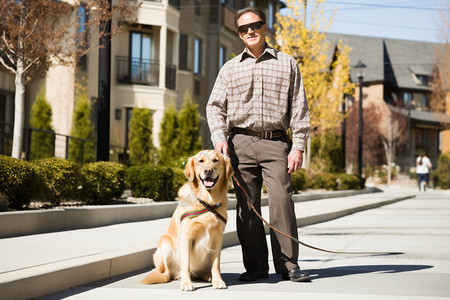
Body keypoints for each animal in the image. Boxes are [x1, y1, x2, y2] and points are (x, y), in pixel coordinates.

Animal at [140, 150, 232, 290]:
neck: (207, 202)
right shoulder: (186, 236)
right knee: (166, 273)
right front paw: (186, 283)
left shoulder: (218, 236)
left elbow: (216, 264)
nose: (208, 170)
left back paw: (209, 277)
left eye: (216, 160)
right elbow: (186, 264)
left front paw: (218, 280)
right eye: (201, 161)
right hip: (165, 243)